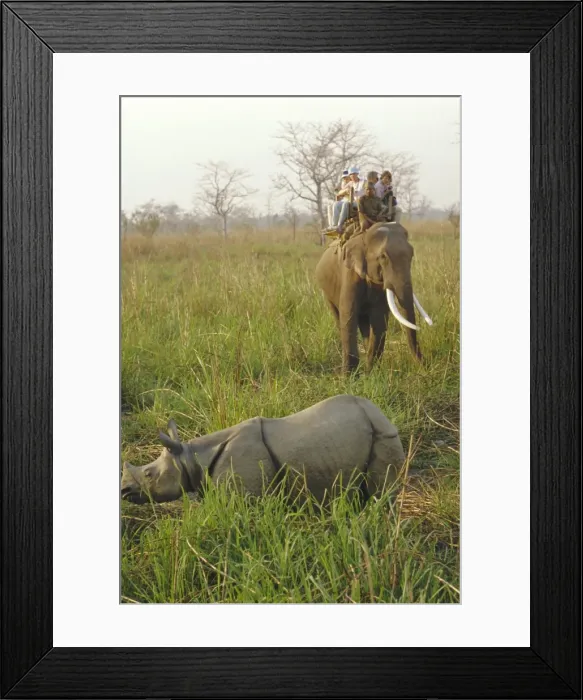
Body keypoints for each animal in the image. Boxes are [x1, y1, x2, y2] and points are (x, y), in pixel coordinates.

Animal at [121, 395, 406, 505]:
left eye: (149, 474)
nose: (124, 491)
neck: (190, 457)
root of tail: (381, 414)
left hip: (384, 436)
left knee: (380, 492)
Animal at [314, 222, 432, 374]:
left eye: (412, 254)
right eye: (383, 256)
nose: (425, 366)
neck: (364, 236)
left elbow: (379, 318)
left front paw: (371, 373)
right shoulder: (349, 274)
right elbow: (348, 315)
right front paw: (349, 376)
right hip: (326, 291)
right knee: (338, 316)